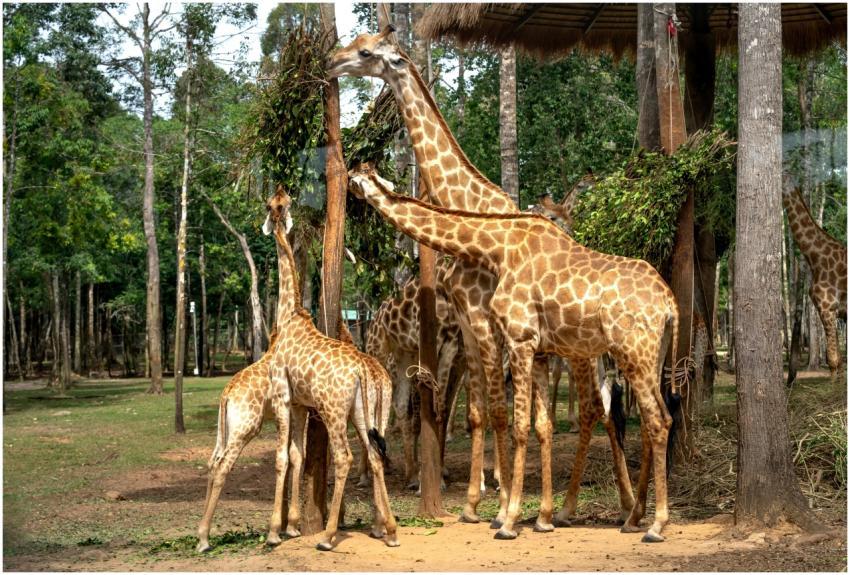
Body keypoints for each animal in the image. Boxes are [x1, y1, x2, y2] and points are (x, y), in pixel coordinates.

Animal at [349, 165, 679, 542]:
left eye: (354, 180)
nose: (350, 195)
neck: (499, 247)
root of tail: (670, 303)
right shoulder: (538, 349)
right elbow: (540, 425)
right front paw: (542, 518)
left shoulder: (519, 338)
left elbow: (518, 424)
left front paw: (507, 520)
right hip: (652, 354)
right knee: (658, 418)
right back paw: (632, 517)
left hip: (631, 353)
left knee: (652, 419)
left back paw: (655, 524)